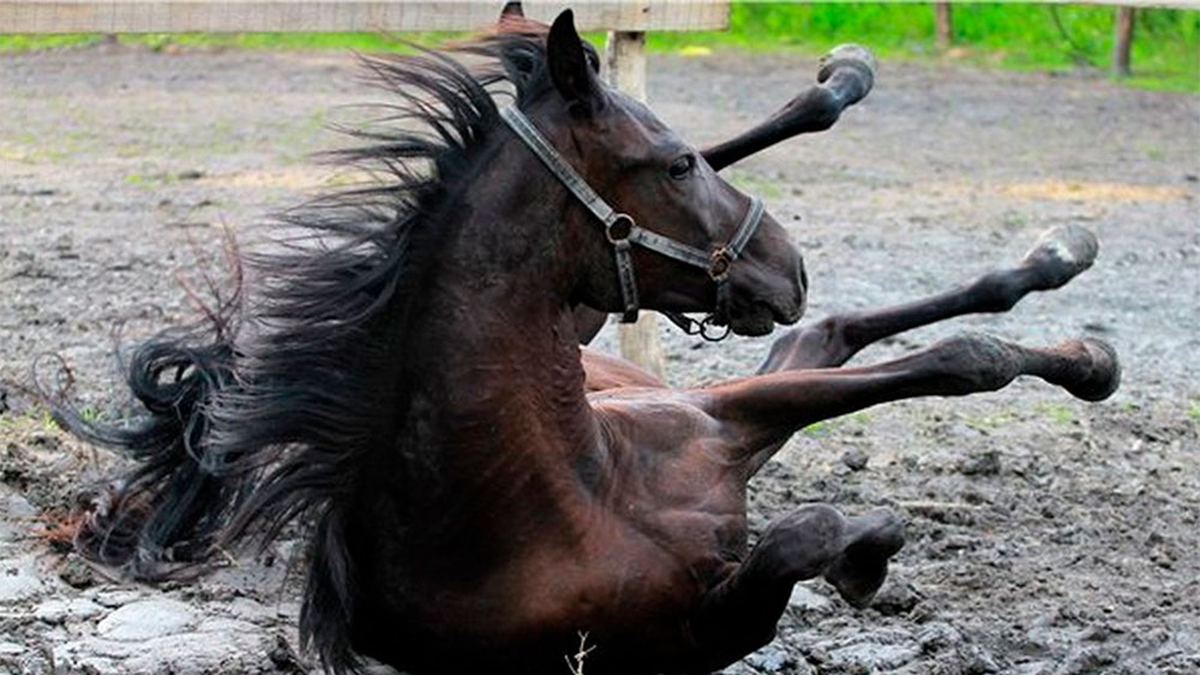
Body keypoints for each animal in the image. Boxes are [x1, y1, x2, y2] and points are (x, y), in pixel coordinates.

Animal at [56, 10, 1118, 672]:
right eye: (674, 163)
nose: (789, 266)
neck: (565, 494)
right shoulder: (691, 627)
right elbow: (823, 512)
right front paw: (867, 550)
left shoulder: (712, 420)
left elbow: (945, 371)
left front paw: (1081, 360)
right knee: (829, 336)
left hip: (646, 358)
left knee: (829, 329)